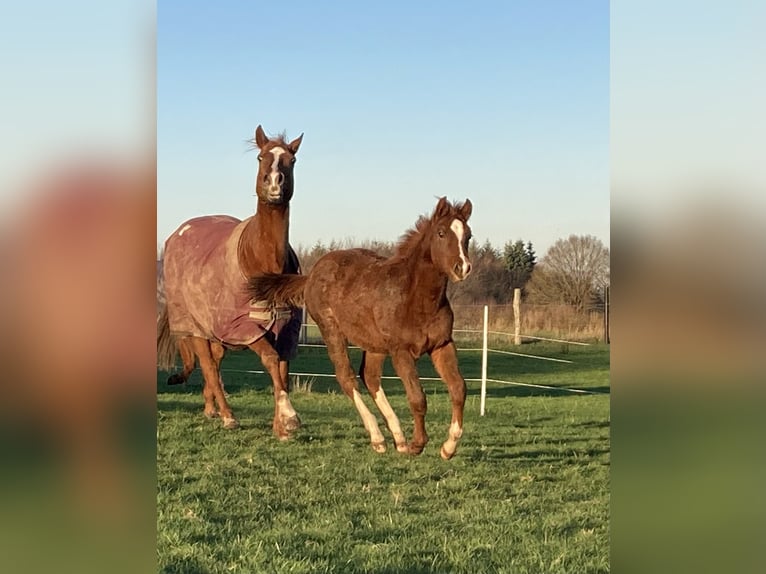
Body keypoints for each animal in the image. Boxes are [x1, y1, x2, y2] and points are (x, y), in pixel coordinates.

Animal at [158, 126, 304, 438]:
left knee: (215, 363)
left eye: (292, 160)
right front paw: (288, 418)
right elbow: (270, 361)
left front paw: (280, 426)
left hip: (218, 335)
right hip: (196, 329)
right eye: (261, 157)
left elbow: (282, 370)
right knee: (209, 366)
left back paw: (211, 408)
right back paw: (227, 415)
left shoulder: (286, 329)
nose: (275, 184)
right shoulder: (246, 328)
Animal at [249, 200, 474, 462]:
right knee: (347, 378)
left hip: (374, 344)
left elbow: (458, 389)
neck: (416, 299)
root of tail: (311, 275)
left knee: (370, 376)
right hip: (332, 331)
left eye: (468, 235)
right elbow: (417, 397)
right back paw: (379, 438)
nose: (462, 268)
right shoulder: (401, 352)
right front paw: (418, 444)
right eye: (441, 233)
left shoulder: (442, 344)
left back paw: (398, 438)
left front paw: (448, 446)